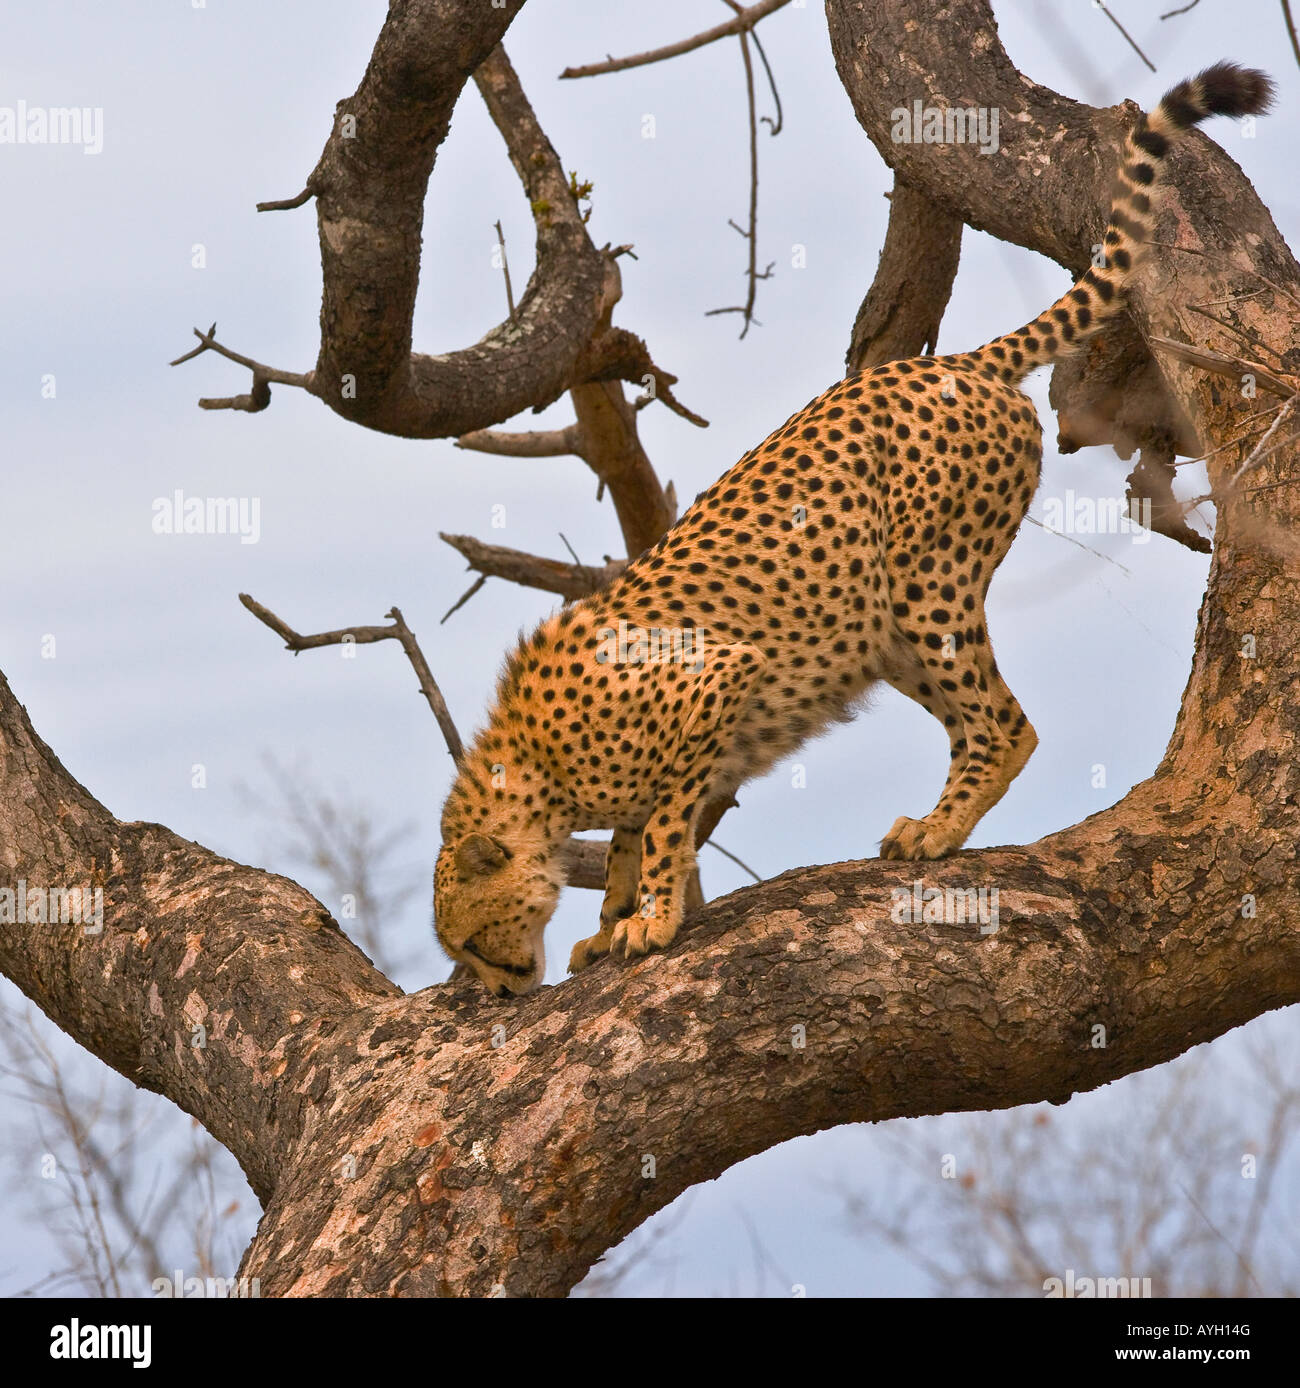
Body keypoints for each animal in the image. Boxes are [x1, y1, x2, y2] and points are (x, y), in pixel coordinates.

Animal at [432, 65, 1270, 993]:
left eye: (473, 940)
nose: (497, 990)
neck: (536, 770)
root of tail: (953, 362)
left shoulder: (714, 680)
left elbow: (661, 824)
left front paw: (648, 917)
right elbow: (627, 833)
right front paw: (612, 920)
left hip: (926, 584)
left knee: (1006, 723)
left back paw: (939, 829)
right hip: (879, 630)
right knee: (973, 717)